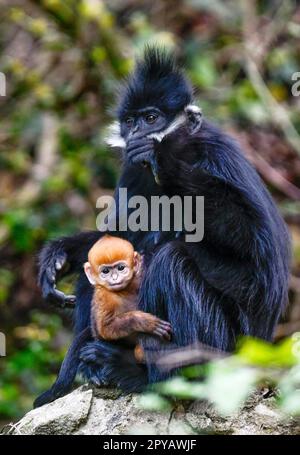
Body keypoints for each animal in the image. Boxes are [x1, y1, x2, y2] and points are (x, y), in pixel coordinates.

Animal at [33, 48, 290, 408]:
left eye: (152, 118)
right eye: (130, 121)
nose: (137, 133)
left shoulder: (219, 157)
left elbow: (256, 251)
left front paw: (166, 164)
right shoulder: (132, 170)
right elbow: (117, 237)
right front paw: (59, 257)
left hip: (229, 348)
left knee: (172, 261)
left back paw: (161, 378)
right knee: (96, 276)